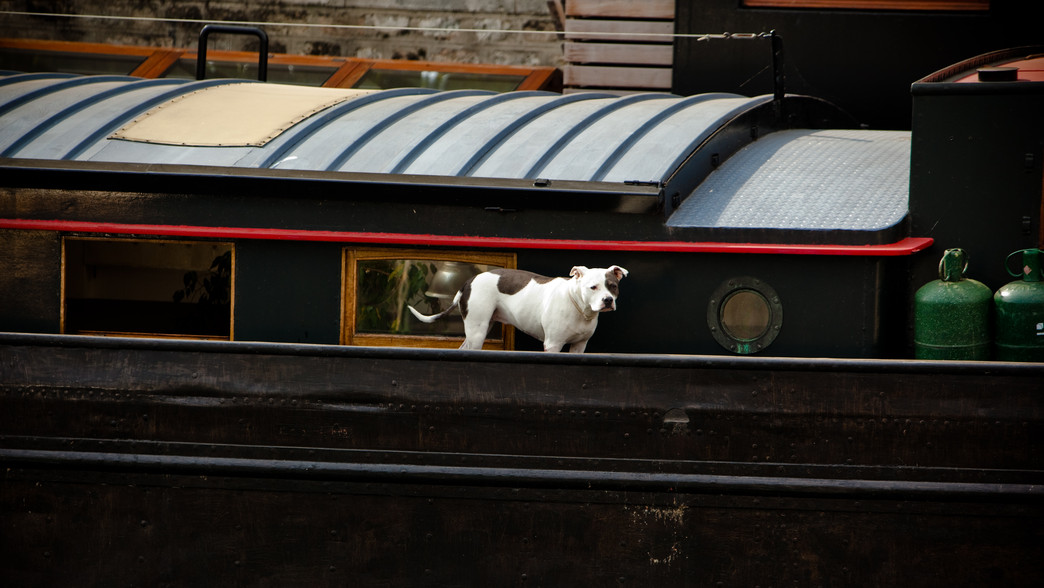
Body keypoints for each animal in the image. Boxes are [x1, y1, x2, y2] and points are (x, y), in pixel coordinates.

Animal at [409, 264, 626, 353]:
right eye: (593, 287)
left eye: (613, 286)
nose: (608, 300)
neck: (581, 309)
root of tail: (469, 281)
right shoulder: (553, 344)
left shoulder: (579, 346)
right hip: (477, 331)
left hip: (481, 327)